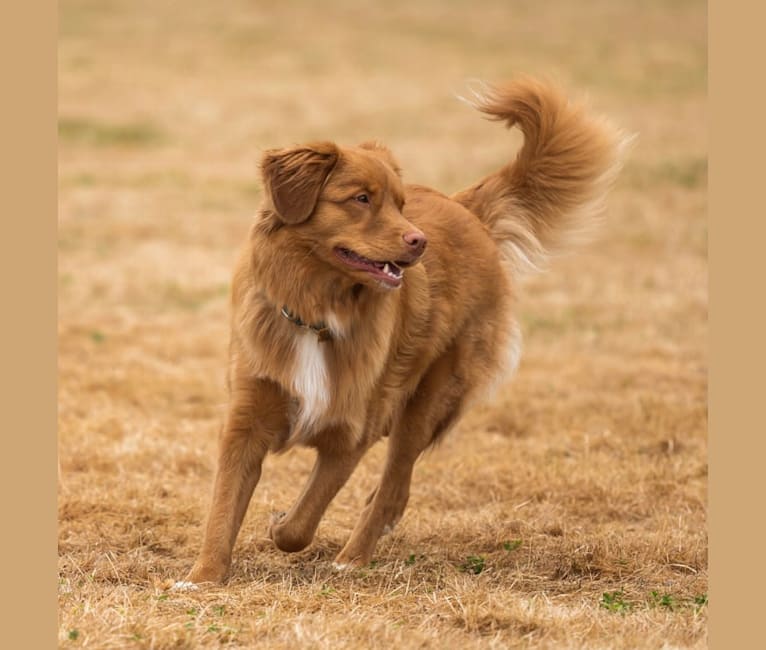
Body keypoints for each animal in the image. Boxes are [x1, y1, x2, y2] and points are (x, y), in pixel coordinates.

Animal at [183, 76, 628, 584]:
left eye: (399, 204)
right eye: (361, 199)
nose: (419, 241)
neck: (319, 313)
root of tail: (464, 210)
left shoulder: (352, 432)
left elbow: (302, 522)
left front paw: (280, 525)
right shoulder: (246, 419)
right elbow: (223, 508)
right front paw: (202, 578)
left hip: (429, 399)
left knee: (395, 485)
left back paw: (352, 558)